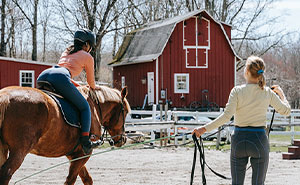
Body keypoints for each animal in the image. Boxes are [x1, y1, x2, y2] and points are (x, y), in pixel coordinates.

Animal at [0, 84, 130, 184]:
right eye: (126, 112)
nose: (123, 139)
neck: (94, 108)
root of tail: (5, 96)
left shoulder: (74, 154)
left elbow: (87, 179)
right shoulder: (84, 154)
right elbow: (71, 180)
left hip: (3, 149)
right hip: (19, 151)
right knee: (6, 174)